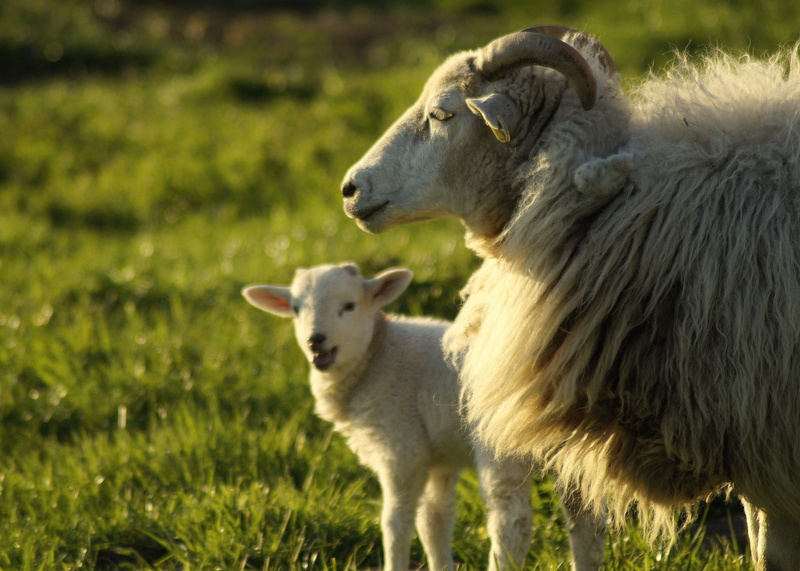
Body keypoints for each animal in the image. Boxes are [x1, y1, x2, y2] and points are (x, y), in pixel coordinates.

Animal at [242, 262, 607, 571]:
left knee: (512, 521)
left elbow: (396, 522)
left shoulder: (402, 449)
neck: (376, 356)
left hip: (501, 442)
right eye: (295, 309)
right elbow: (434, 521)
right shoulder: (438, 458)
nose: (315, 341)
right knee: (586, 524)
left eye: (349, 306)